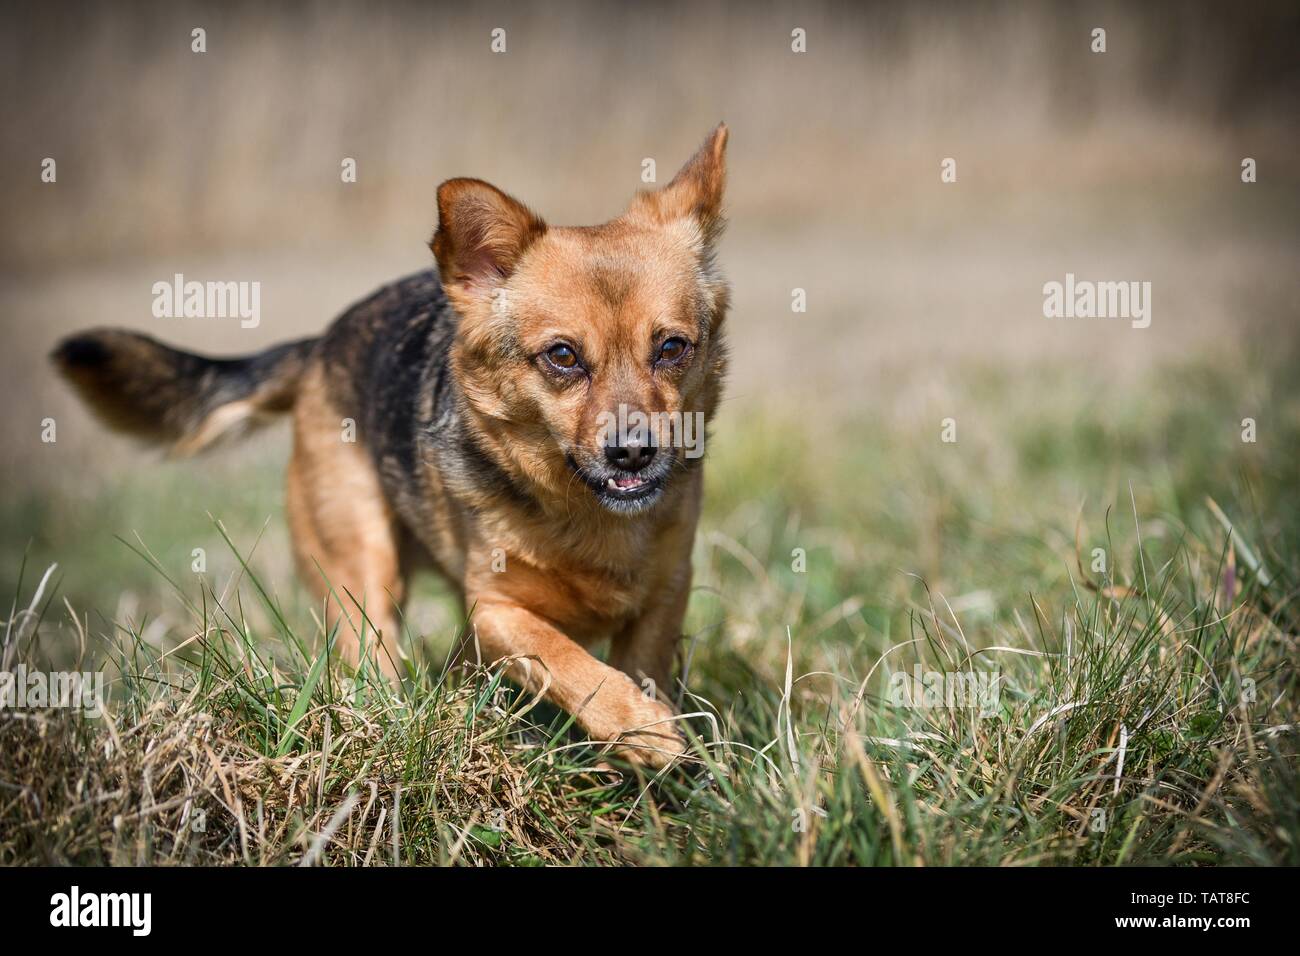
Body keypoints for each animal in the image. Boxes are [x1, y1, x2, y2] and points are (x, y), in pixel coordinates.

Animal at [50, 125, 733, 770]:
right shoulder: (496, 611)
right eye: (563, 356)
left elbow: (637, 666)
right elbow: (570, 663)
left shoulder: (663, 597)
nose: (633, 452)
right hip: (363, 564)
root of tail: (320, 345)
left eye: (672, 348)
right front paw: (642, 728)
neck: (588, 515)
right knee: (373, 656)